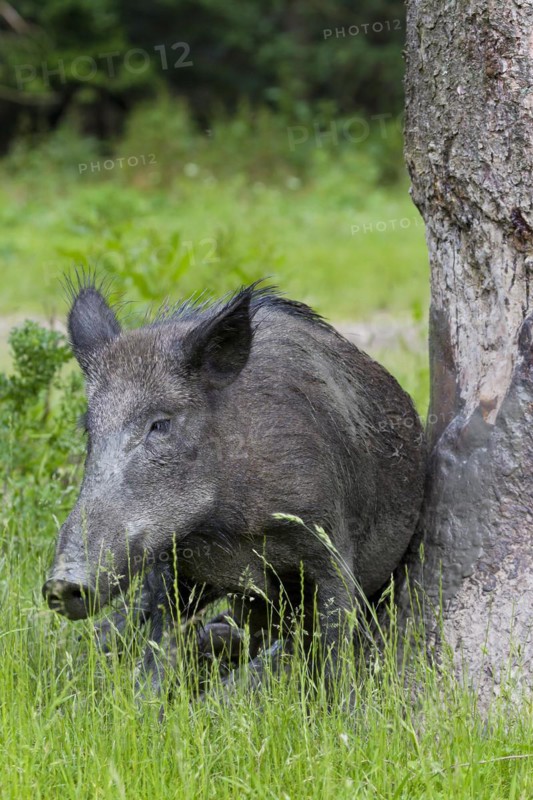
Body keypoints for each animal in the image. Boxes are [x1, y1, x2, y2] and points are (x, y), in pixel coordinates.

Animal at [43, 277, 426, 692]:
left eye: (160, 424)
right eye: (88, 429)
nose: (60, 584)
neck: (227, 527)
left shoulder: (330, 547)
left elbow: (332, 654)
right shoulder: (175, 571)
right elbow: (158, 657)